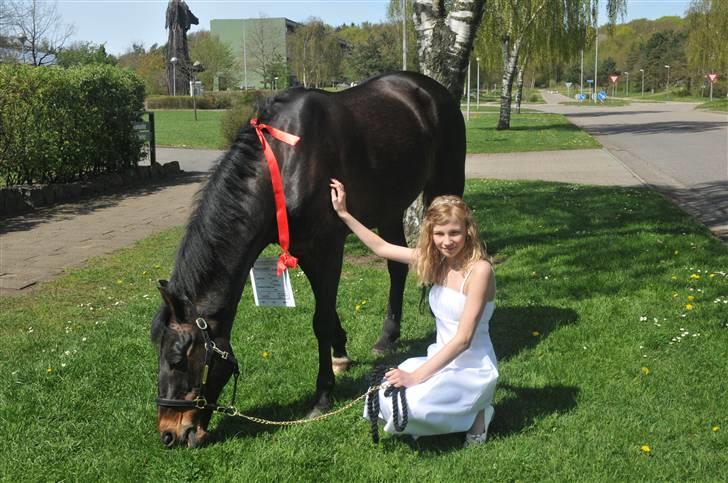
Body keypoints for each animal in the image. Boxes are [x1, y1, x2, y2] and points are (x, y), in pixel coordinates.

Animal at [152, 70, 466, 448]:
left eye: (178, 360)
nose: (169, 433)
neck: (285, 160)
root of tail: (431, 90)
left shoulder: (328, 248)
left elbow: (321, 320)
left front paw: (323, 394)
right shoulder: (304, 250)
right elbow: (328, 313)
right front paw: (340, 352)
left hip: (445, 185)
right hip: (390, 208)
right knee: (396, 266)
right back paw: (386, 337)